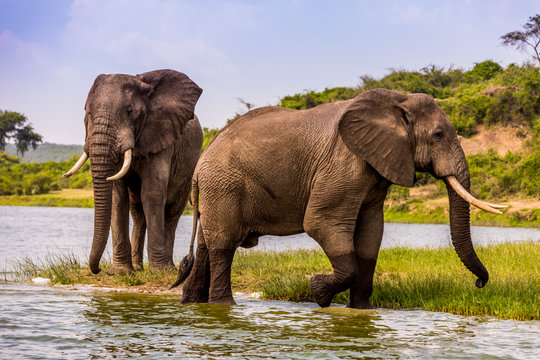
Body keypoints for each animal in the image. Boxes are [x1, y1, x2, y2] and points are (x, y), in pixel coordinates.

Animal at [61, 69, 205, 274]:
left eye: (129, 111)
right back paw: (137, 268)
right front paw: (121, 272)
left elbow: (152, 193)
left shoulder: (162, 134)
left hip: (188, 170)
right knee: (138, 212)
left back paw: (168, 268)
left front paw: (158, 270)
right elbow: (118, 197)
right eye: (88, 111)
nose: (97, 270)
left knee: (171, 213)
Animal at [171, 88, 504, 308]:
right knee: (223, 246)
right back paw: (224, 307)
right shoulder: (344, 162)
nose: (479, 284)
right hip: (224, 186)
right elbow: (322, 222)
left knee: (206, 246)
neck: (397, 100)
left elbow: (371, 233)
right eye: (437, 135)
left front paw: (361, 312)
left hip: (215, 191)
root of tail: (200, 166)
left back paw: (193, 304)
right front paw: (318, 292)